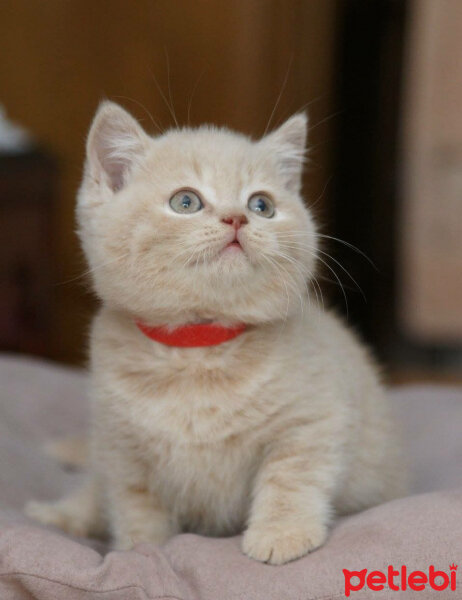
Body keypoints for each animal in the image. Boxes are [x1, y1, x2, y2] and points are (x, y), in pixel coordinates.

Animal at [27, 101, 406, 564]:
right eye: (186, 201)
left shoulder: (314, 419)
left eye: (262, 205)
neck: (198, 347)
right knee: (94, 493)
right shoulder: (121, 449)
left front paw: (282, 534)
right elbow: (135, 507)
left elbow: (292, 475)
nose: (237, 217)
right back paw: (57, 514)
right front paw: (140, 552)